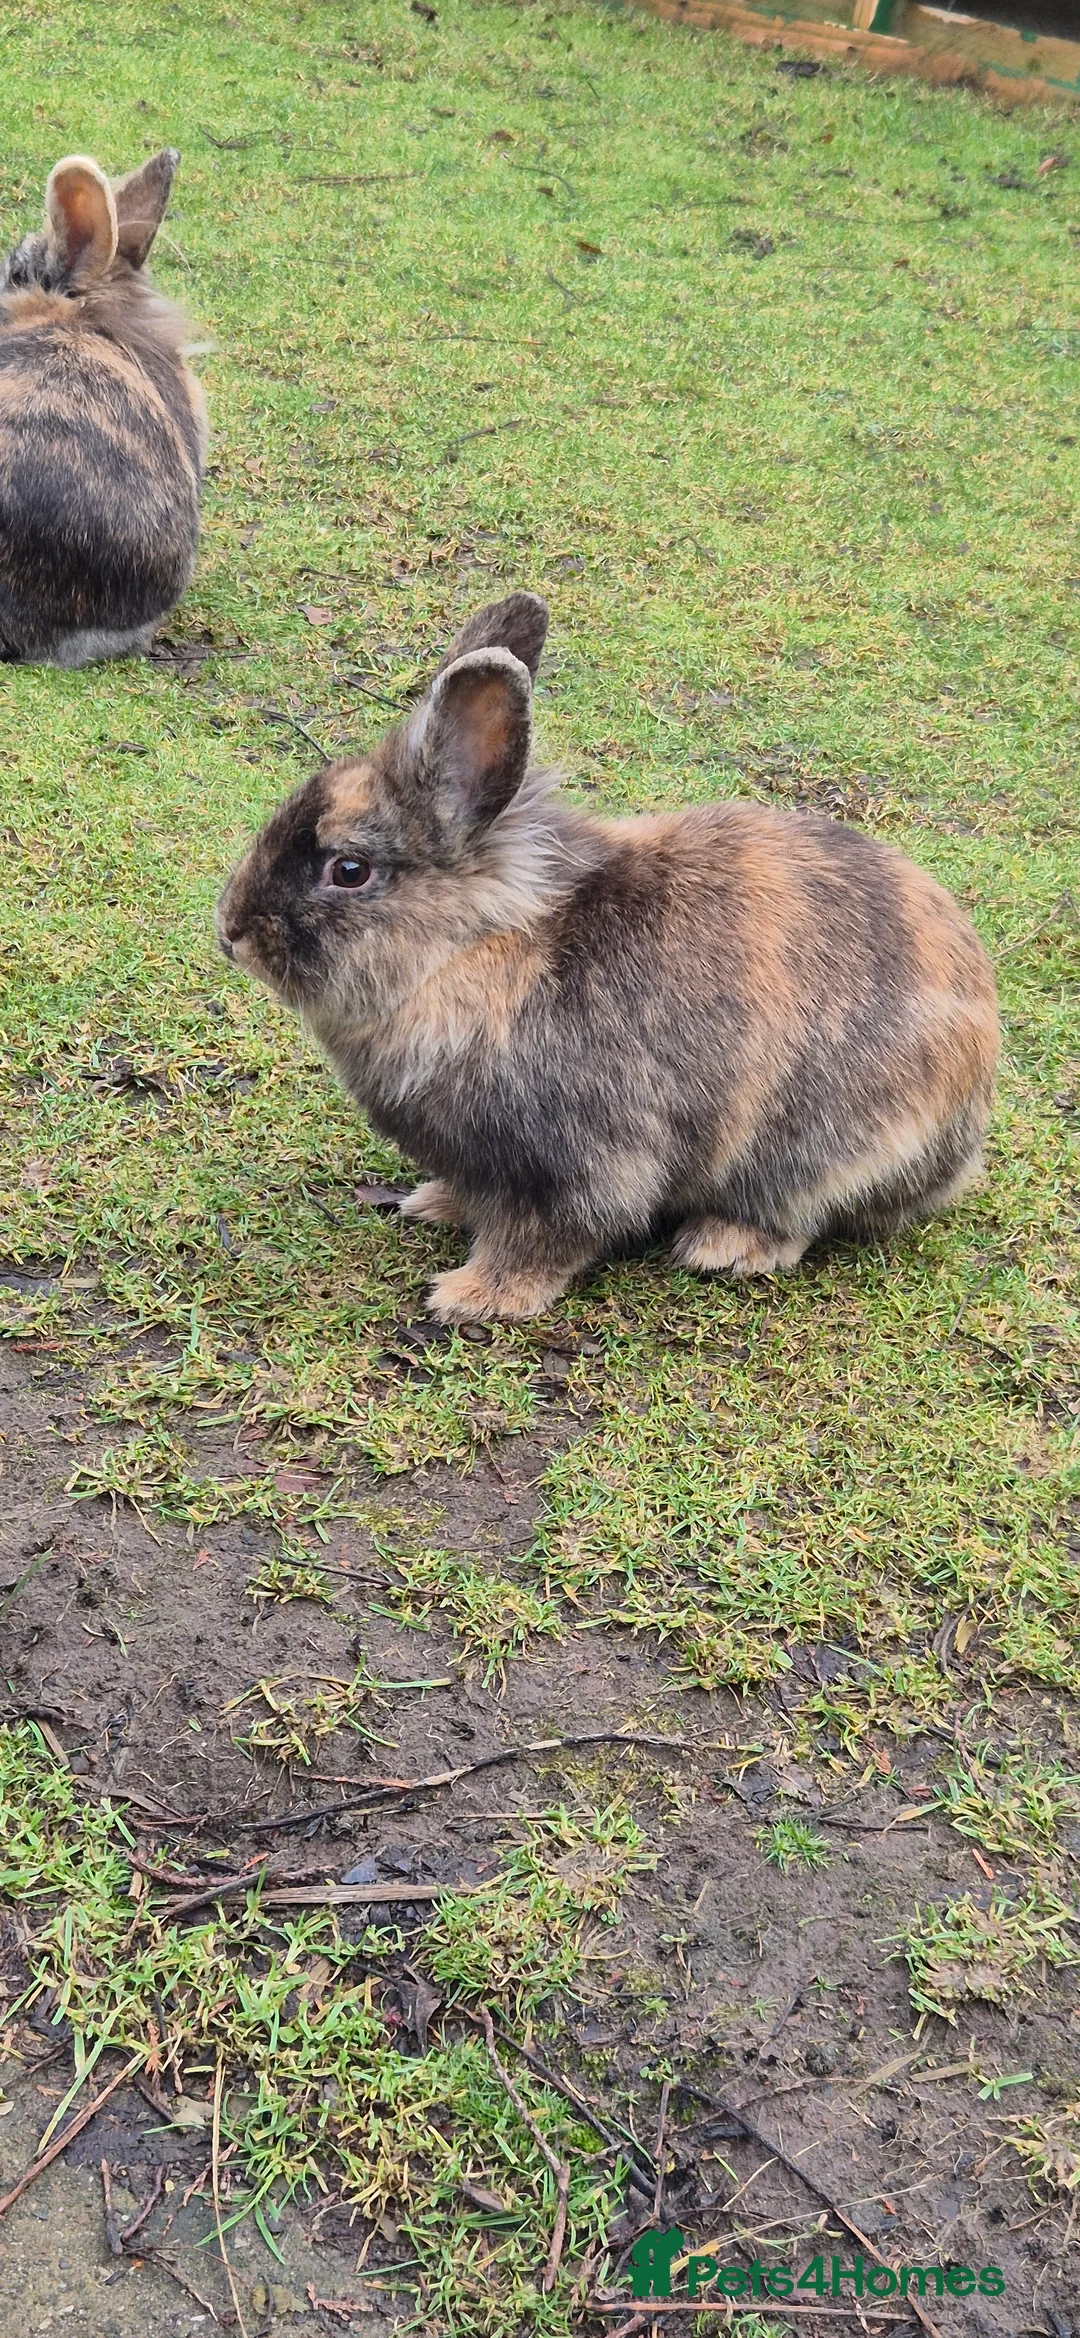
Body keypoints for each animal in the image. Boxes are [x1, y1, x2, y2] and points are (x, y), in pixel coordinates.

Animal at [216, 592, 999, 1323]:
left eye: (348, 871)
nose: (231, 930)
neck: (470, 954)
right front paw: (435, 1205)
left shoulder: (583, 1163)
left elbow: (549, 1238)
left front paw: (474, 1296)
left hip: (824, 1152)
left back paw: (725, 1246)